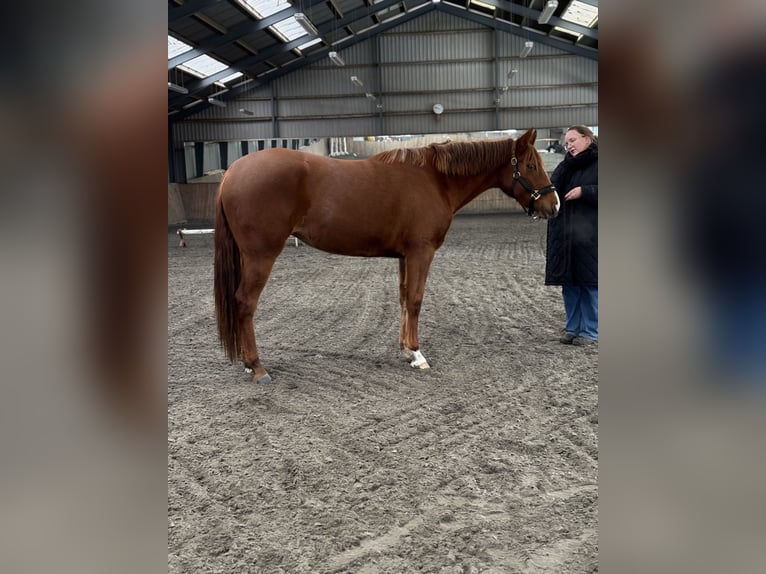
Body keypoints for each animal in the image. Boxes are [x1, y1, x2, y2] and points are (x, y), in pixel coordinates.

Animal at [214, 128, 559, 384]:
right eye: (531, 166)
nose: (553, 205)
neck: (435, 180)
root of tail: (232, 172)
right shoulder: (421, 251)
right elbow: (417, 299)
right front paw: (418, 355)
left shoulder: (404, 256)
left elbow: (405, 298)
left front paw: (406, 351)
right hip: (261, 255)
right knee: (245, 303)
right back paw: (257, 367)